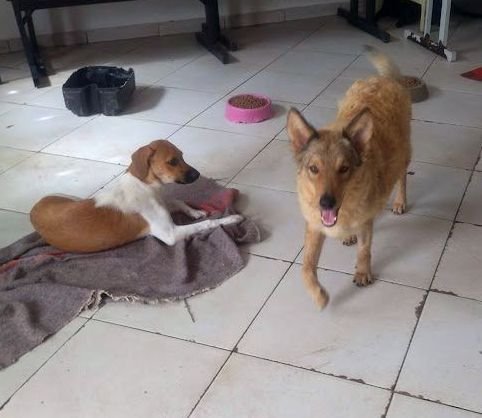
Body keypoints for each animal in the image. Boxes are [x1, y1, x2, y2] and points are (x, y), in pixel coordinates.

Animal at [30, 140, 243, 253]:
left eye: (183, 156)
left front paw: (195, 211)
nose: (198, 175)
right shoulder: (170, 234)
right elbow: (206, 223)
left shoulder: (162, 203)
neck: (148, 186)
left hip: (70, 197)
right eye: (172, 161)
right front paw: (232, 218)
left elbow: (178, 200)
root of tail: (33, 210)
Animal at [287, 46, 411, 309]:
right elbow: (305, 267)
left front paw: (363, 272)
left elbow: (365, 250)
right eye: (313, 169)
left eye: (344, 168)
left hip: (404, 155)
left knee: (402, 177)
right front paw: (319, 295)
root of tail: (383, 79)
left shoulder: (365, 222)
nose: (326, 203)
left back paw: (399, 201)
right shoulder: (314, 225)